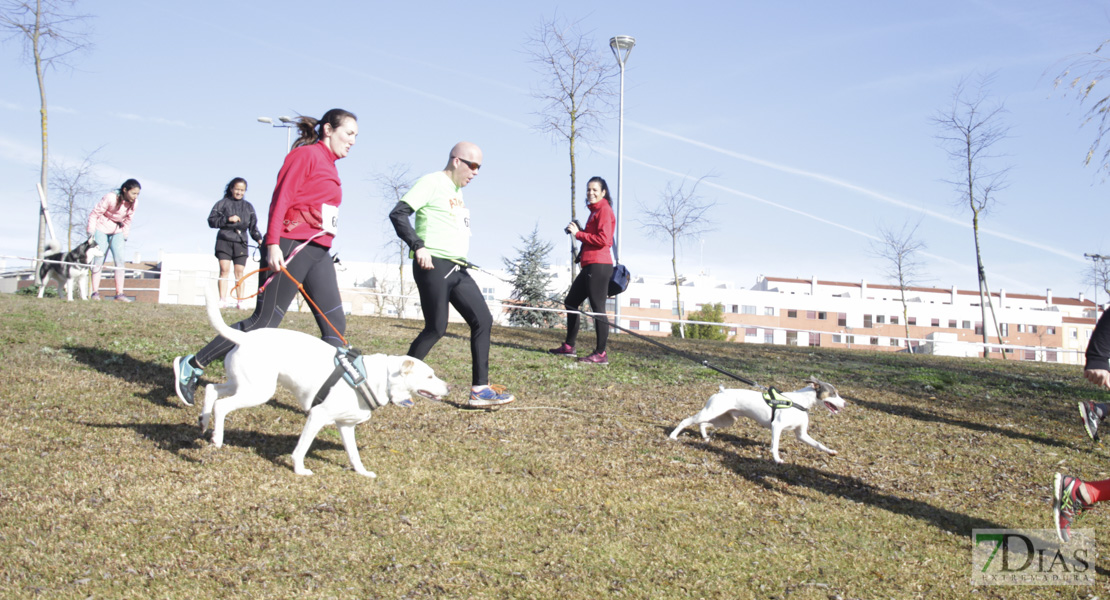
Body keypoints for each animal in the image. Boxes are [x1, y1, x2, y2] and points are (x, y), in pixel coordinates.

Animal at [197, 286, 448, 476]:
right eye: (430, 376)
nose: (449, 387)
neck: (372, 378)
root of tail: (244, 337)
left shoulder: (346, 425)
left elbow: (354, 455)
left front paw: (362, 472)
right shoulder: (318, 416)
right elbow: (301, 449)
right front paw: (299, 470)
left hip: (243, 383)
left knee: (211, 389)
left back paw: (203, 423)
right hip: (258, 391)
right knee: (222, 405)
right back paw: (217, 438)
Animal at [666, 374, 848, 463]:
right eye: (833, 393)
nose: (845, 403)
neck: (799, 402)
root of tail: (722, 391)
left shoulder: (801, 434)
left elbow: (818, 444)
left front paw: (830, 451)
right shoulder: (777, 427)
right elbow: (775, 446)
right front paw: (777, 459)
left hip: (726, 419)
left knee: (703, 424)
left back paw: (704, 437)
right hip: (712, 413)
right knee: (687, 420)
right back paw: (673, 436)